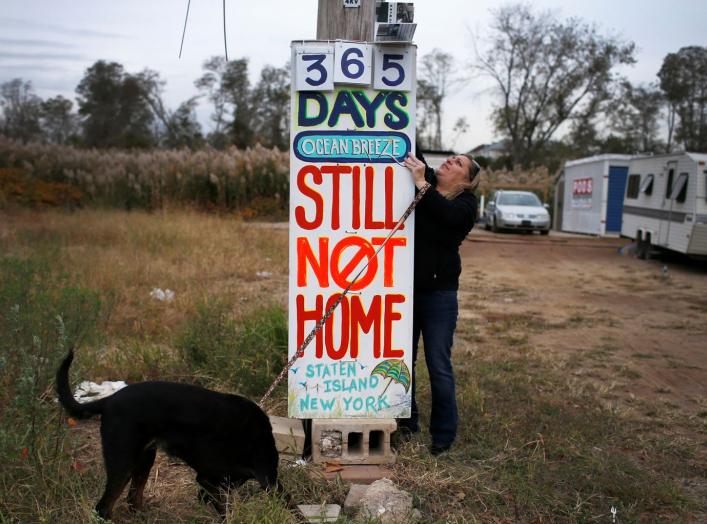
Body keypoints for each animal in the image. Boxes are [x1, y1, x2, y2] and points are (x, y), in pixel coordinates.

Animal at [56, 350, 282, 516]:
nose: (201, 499)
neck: (257, 438)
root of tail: (108, 400)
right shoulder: (212, 477)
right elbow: (225, 506)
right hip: (123, 463)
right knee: (103, 507)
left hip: (145, 459)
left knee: (132, 499)